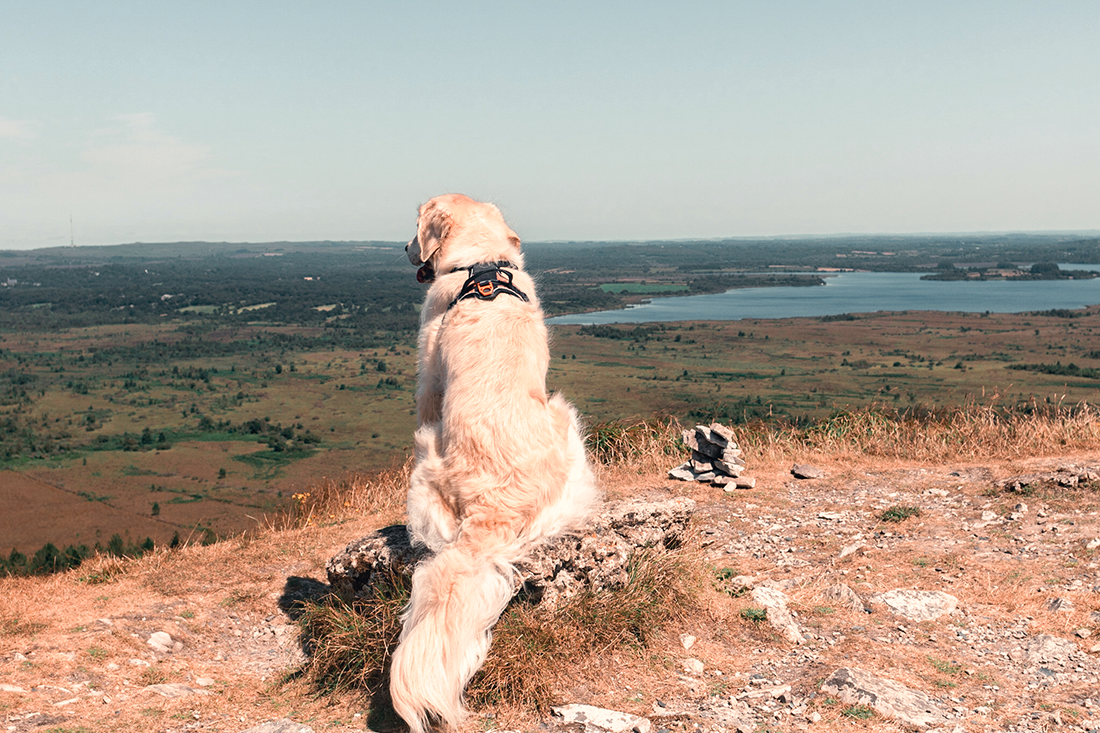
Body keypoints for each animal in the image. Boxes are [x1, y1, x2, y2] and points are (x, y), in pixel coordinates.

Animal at [391, 193, 602, 730]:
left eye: (415, 226)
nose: (404, 248)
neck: (481, 264)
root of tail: (492, 511)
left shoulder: (428, 377)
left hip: (442, 444)